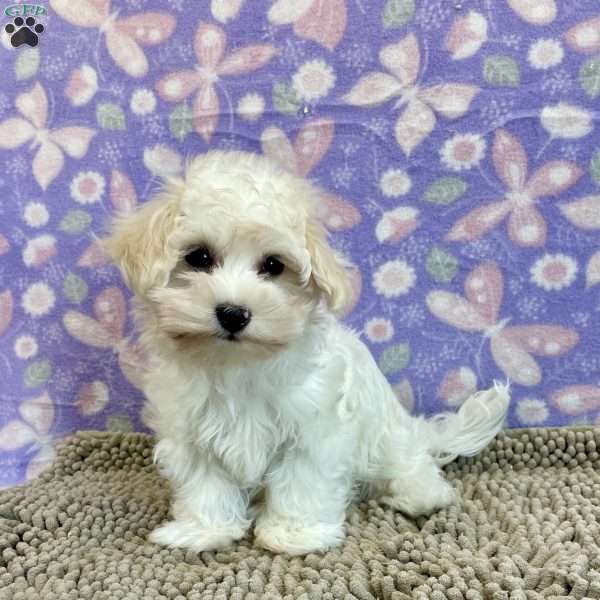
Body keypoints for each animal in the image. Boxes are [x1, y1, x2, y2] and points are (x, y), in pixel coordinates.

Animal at [105, 152, 508, 556]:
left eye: (273, 265)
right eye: (199, 257)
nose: (234, 313)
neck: (239, 366)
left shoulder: (314, 430)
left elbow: (301, 481)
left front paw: (293, 534)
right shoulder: (191, 434)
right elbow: (206, 485)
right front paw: (204, 530)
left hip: (389, 440)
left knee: (412, 465)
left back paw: (420, 494)